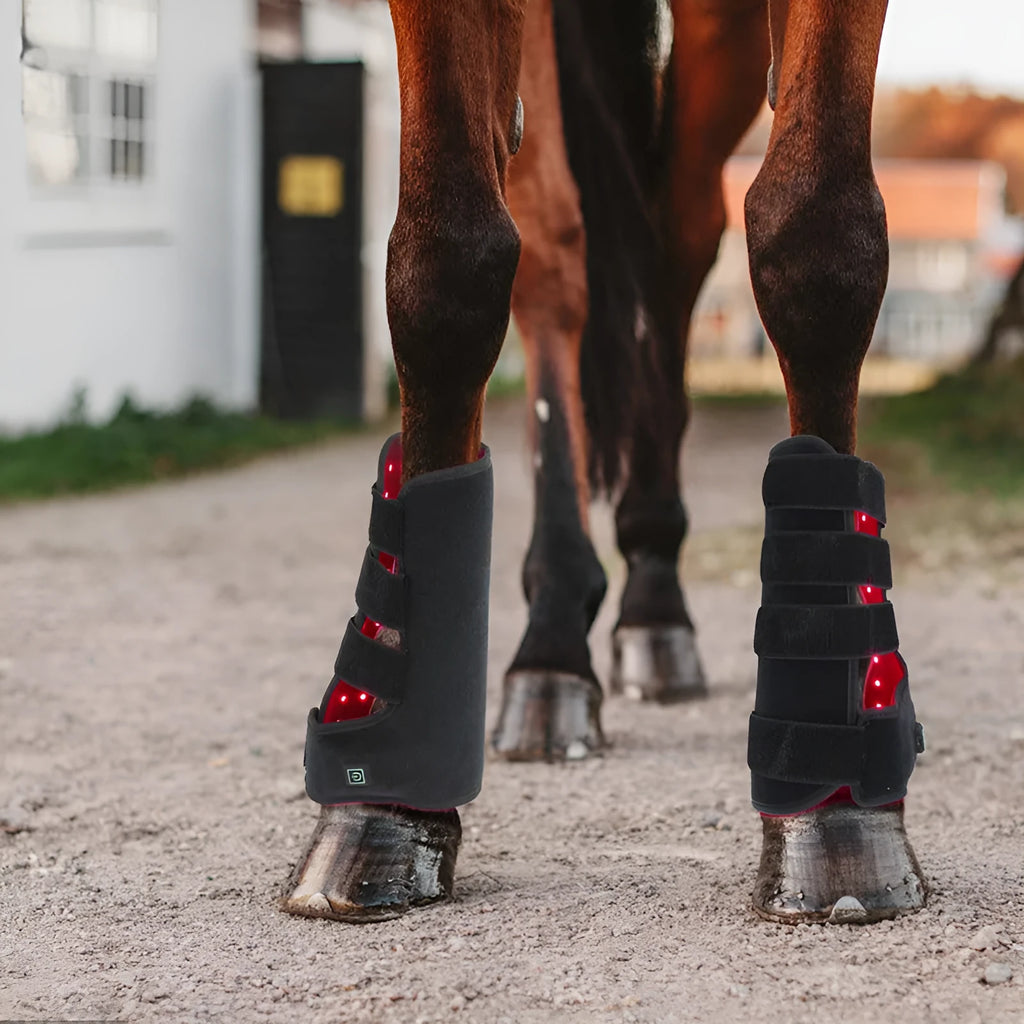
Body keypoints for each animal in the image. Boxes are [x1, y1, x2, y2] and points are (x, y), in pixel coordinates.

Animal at [281, 0, 925, 926]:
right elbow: (445, 263)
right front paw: (384, 807)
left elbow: (818, 241)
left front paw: (838, 816)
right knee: (558, 256)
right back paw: (553, 645)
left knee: (678, 235)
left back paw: (653, 597)